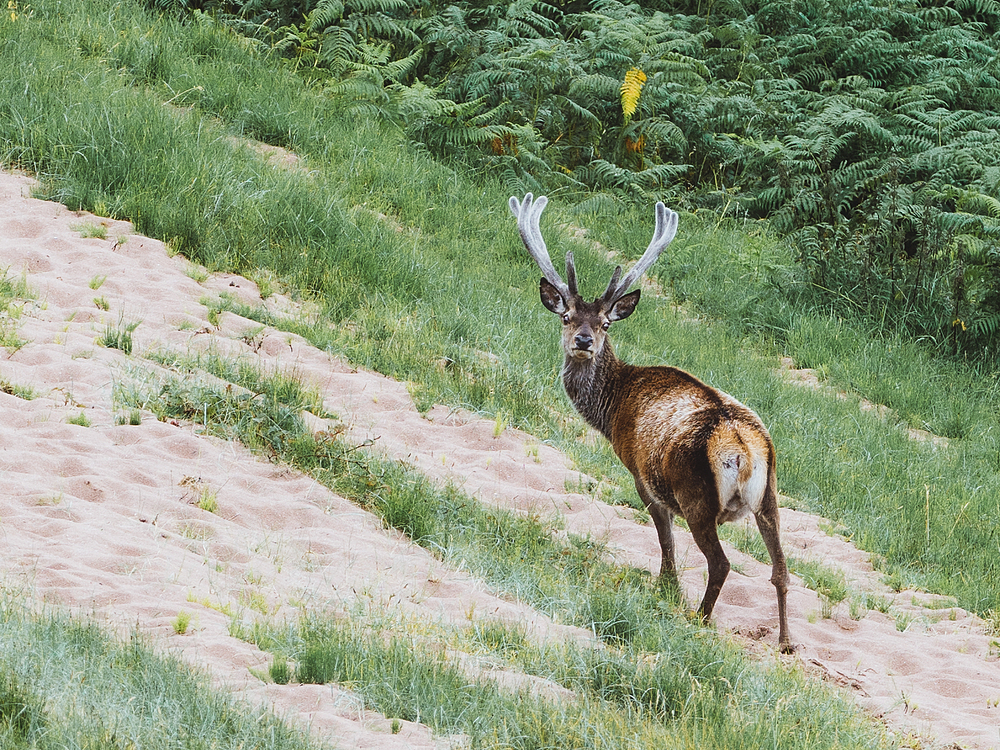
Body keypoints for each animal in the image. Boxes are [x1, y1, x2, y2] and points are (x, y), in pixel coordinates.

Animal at [512, 192, 792, 652]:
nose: (584, 341)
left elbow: (664, 538)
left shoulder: (640, 472)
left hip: (697, 494)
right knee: (782, 571)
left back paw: (699, 618)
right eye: (567, 317)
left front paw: (667, 588)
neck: (612, 409)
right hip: (770, 496)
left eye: (605, 323)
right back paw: (786, 642)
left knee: (721, 563)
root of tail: (744, 449)